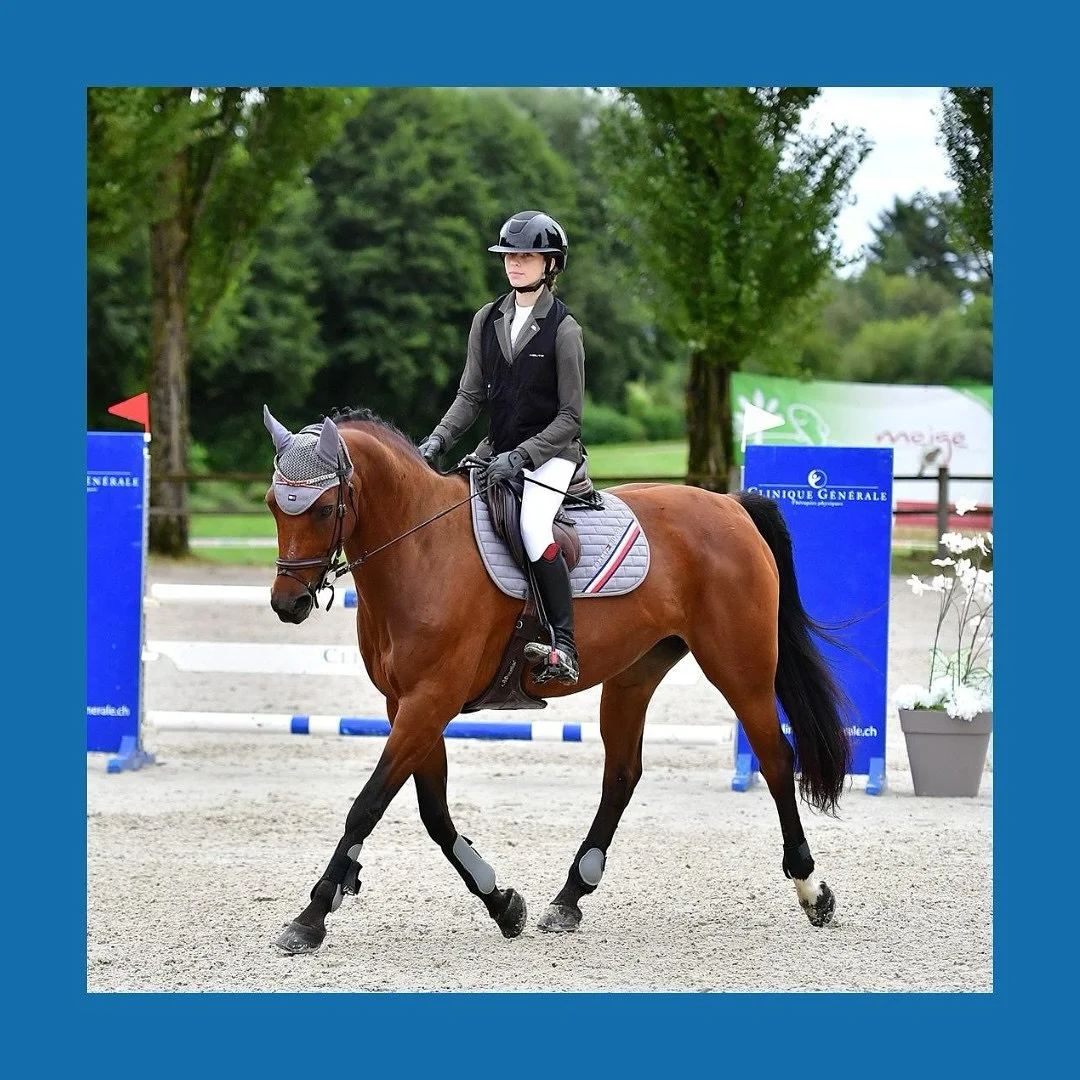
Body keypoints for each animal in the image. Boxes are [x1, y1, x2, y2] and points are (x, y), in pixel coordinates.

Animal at [262, 404, 854, 954]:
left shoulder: (430, 701)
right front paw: (501, 903)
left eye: (322, 508)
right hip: (634, 676)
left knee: (775, 759)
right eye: (273, 504)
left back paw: (811, 890)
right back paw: (570, 896)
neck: (420, 551)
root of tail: (730, 504)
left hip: (741, 669)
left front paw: (310, 917)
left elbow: (367, 805)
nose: (287, 604)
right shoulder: (405, 704)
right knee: (622, 776)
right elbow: (433, 813)